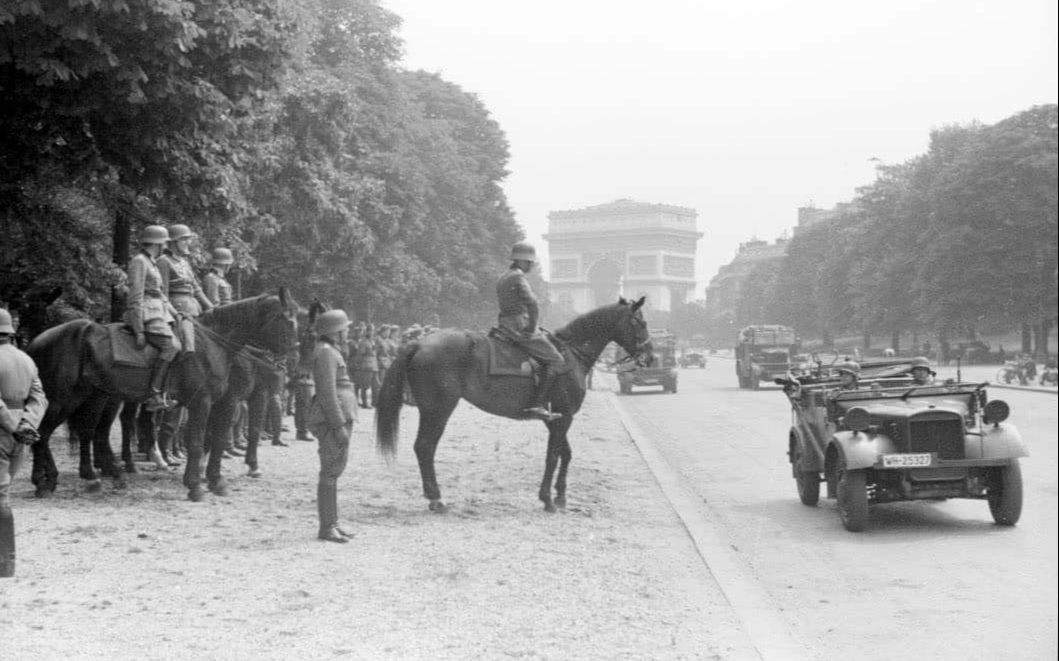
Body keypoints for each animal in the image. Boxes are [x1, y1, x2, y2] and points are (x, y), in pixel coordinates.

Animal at [27, 290, 302, 499]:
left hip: (93, 397)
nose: (292, 362)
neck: (211, 345)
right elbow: (197, 442)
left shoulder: (221, 403)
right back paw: (47, 481)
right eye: (288, 321)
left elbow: (215, 439)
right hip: (64, 400)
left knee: (83, 433)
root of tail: (36, 341)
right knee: (44, 433)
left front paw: (215, 481)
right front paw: (196, 485)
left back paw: (82, 478)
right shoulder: (204, 402)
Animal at [372, 296, 652, 514]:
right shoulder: (565, 416)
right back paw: (436, 498)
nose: (650, 357)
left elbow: (566, 454)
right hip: (438, 409)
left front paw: (560, 496)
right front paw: (548, 499)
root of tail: (420, 342)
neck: (570, 353)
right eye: (641, 322)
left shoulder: (556, 418)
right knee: (425, 447)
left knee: (423, 448)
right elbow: (552, 456)